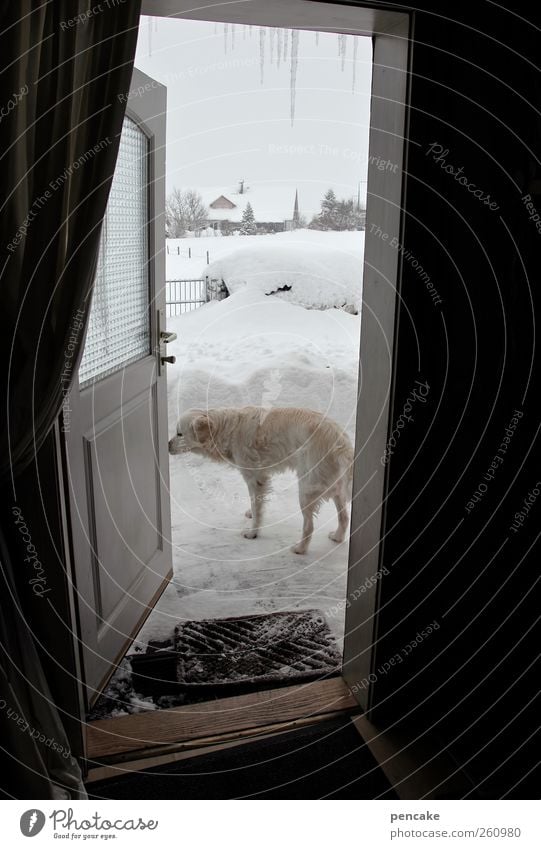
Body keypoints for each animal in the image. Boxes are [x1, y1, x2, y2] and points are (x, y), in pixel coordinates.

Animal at [170, 406, 354, 552]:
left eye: (179, 433)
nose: (167, 445)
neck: (227, 429)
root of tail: (342, 443)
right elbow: (254, 502)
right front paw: (251, 514)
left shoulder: (255, 478)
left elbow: (257, 507)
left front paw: (253, 533)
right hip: (336, 488)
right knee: (344, 517)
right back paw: (337, 536)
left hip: (306, 489)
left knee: (309, 526)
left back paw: (300, 549)